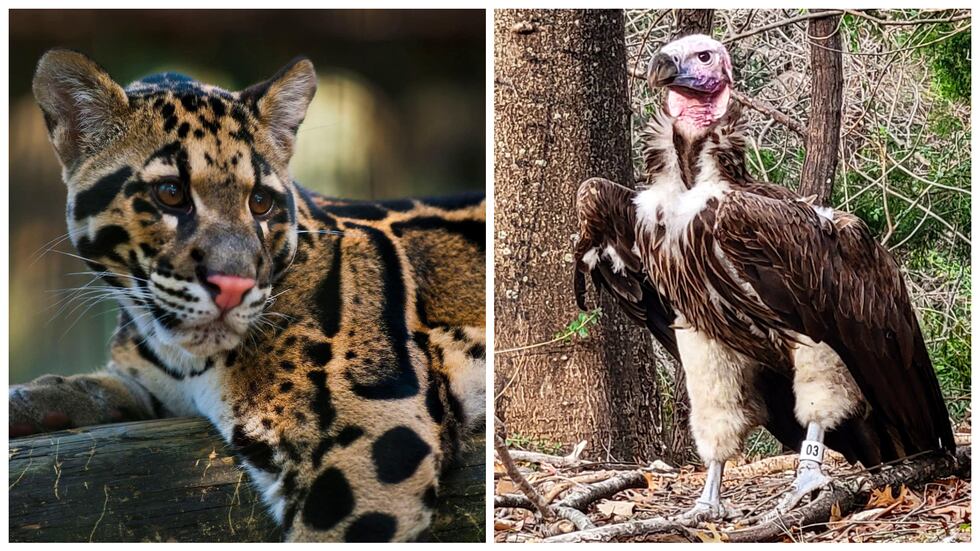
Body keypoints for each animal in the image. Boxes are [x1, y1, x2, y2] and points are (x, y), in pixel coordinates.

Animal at [10, 49, 486, 542]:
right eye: (170, 193)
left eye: (261, 202)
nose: (233, 285)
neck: (181, 357)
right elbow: (124, 386)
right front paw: (43, 397)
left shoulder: (377, 439)